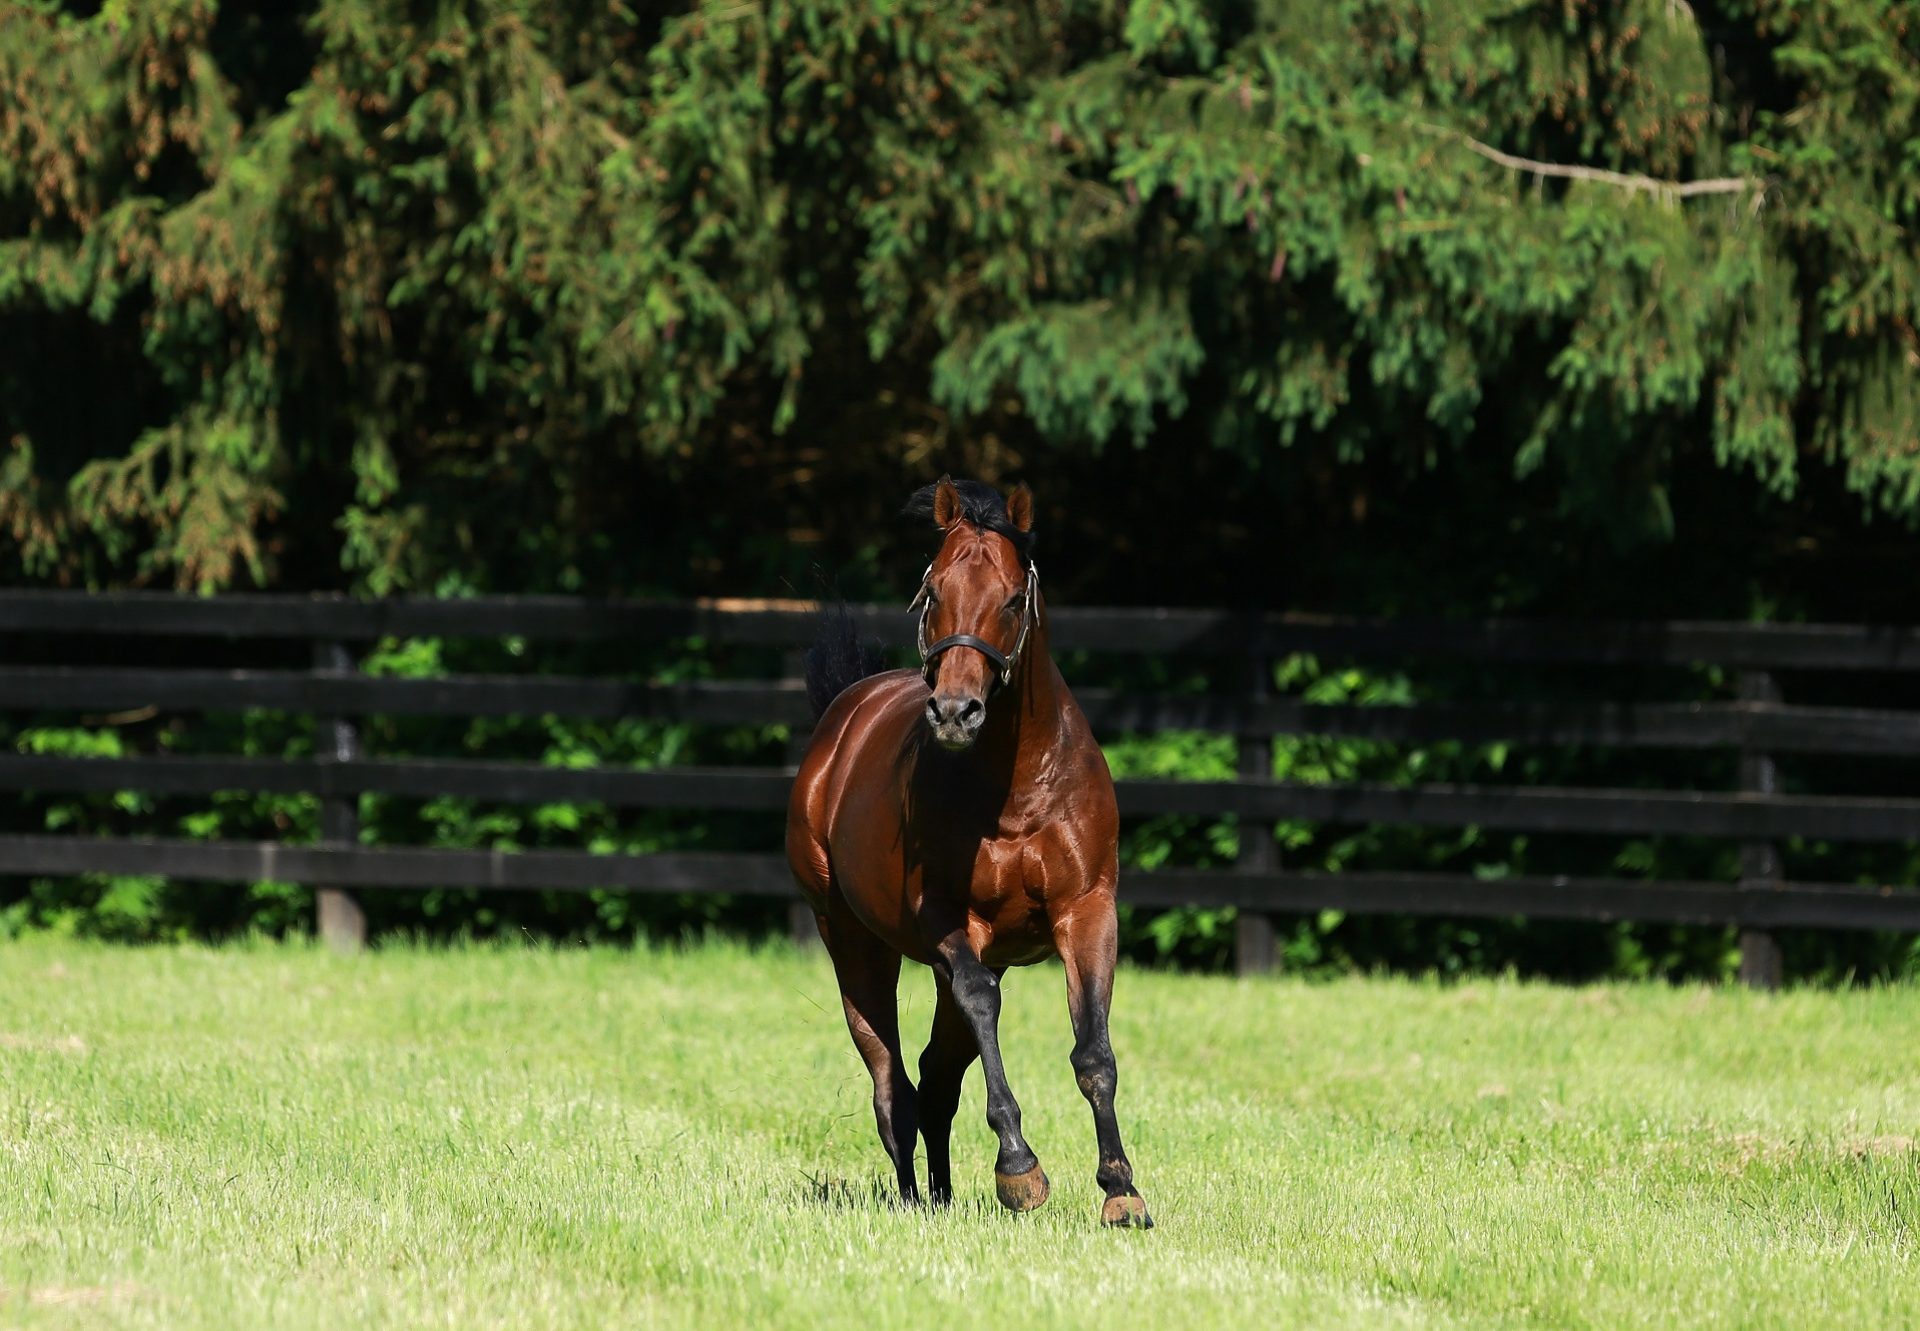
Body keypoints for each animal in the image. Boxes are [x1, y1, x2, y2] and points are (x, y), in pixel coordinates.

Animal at [783, 474, 1144, 1221]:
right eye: (932, 593)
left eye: (1010, 599)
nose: (954, 712)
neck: (1018, 785)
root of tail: (840, 719)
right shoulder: (950, 924)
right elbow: (983, 1004)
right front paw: (1020, 1169)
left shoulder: (1088, 911)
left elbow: (1093, 1053)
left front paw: (1122, 1190)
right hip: (854, 944)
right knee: (893, 1080)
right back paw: (916, 1198)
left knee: (934, 1076)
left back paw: (945, 1195)